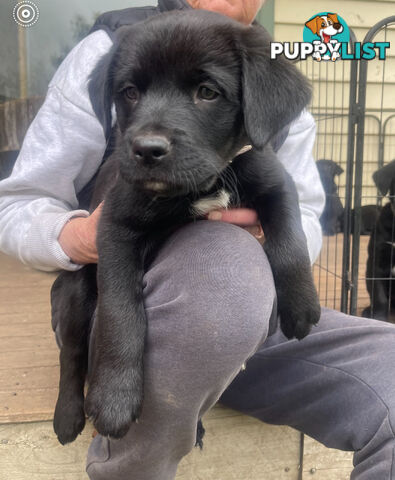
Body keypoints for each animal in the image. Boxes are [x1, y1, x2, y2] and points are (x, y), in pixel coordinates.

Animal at [50, 10, 322, 446]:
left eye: (207, 92)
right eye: (129, 92)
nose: (146, 150)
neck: (203, 183)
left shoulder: (275, 182)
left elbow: (290, 237)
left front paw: (299, 303)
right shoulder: (115, 227)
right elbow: (119, 313)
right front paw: (114, 398)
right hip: (75, 292)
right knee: (71, 354)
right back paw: (68, 413)